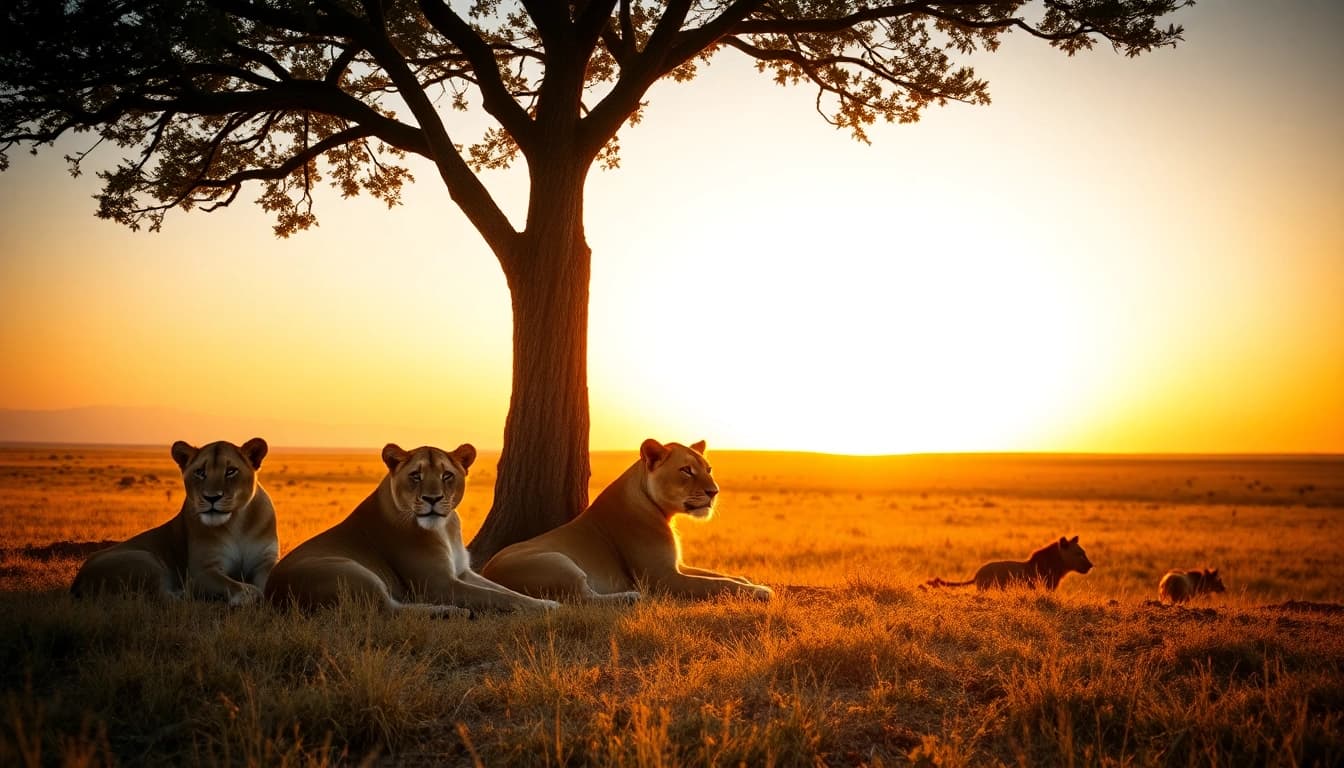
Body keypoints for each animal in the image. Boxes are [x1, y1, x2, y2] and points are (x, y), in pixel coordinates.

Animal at [71, 438, 277, 604]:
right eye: (200, 472)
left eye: (231, 471)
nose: (211, 497)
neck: (237, 523)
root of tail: (77, 581)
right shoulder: (200, 571)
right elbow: (237, 585)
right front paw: (248, 594)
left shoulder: (266, 561)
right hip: (145, 560)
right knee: (159, 596)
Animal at [264, 443, 556, 616]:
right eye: (416, 475)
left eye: (447, 475)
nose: (432, 499)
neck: (445, 529)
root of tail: (272, 593)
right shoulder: (438, 584)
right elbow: (498, 597)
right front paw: (550, 607)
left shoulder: (462, 571)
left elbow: (505, 590)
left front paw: (545, 601)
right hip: (351, 570)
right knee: (387, 609)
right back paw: (451, 611)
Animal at [481, 439, 773, 602]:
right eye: (686, 470)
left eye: (708, 469)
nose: (715, 492)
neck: (662, 510)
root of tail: (487, 573)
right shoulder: (663, 578)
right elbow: (718, 584)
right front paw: (761, 591)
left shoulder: (677, 565)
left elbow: (719, 575)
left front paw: (750, 581)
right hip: (557, 561)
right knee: (581, 599)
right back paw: (630, 597)